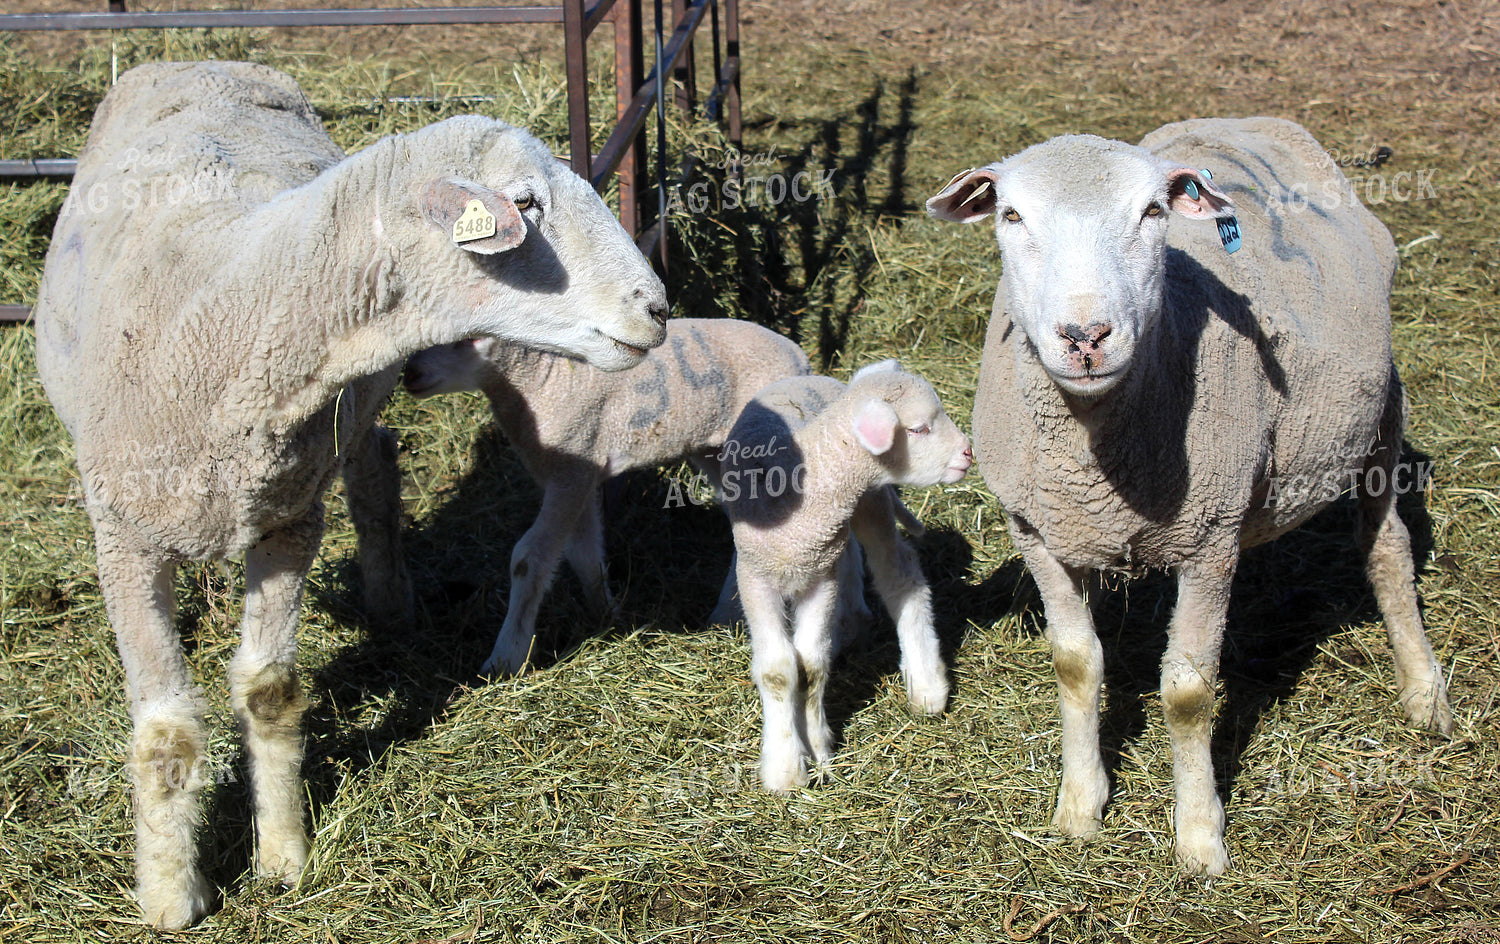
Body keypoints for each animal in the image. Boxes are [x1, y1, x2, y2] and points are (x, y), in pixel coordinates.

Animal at [32, 61, 667, 928]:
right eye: (527, 204)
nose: (658, 308)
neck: (223, 319)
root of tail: (199, 60)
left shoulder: (289, 520)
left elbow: (270, 691)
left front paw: (283, 857)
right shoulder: (125, 537)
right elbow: (166, 731)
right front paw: (171, 895)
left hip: (351, 414)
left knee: (376, 472)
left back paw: (392, 600)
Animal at [401, 317, 811, 676]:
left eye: (471, 337)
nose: (410, 374)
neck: (541, 380)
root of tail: (800, 358)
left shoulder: (572, 463)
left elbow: (529, 558)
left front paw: (505, 659)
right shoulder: (579, 468)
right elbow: (583, 552)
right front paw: (606, 614)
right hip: (713, 449)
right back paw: (724, 615)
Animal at [720, 361, 973, 791]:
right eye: (919, 428)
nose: (969, 452)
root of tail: (820, 379)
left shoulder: (821, 577)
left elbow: (811, 663)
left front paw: (816, 746)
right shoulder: (756, 576)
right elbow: (779, 670)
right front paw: (785, 769)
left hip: (871, 501)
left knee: (899, 574)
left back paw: (926, 685)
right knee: (858, 559)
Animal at [926, 116, 1453, 874]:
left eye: (1152, 213)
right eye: (1012, 215)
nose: (1085, 335)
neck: (1095, 445)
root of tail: (1256, 121)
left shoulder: (1206, 537)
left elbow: (1188, 691)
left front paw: (1201, 838)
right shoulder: (1038, 531)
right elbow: (1075, 664)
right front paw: (1079, 809)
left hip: (1382, 416)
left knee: (1387, 550)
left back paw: (1424, 691)